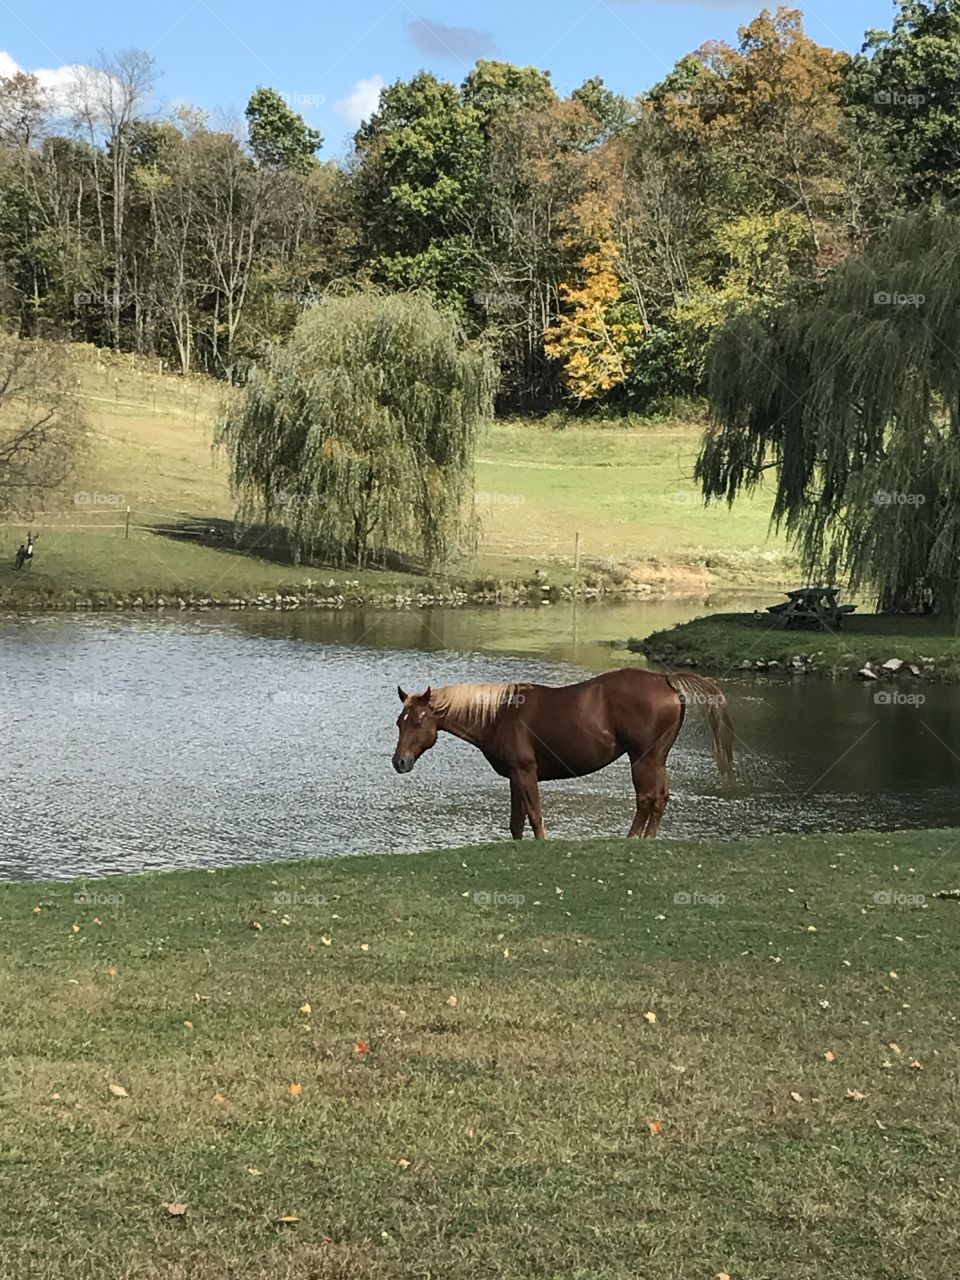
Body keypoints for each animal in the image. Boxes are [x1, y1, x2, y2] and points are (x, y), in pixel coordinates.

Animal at [394, 670, 732, 839]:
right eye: (400, 721)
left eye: (419, 720)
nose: (400, 762)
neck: (500, 713)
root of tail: (664, 679)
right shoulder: (515, 776)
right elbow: (516, 823)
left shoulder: (526, 772)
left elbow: (535, 817)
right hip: (657, 760)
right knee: (659, 799)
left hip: (643, 760)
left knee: (647, 799)